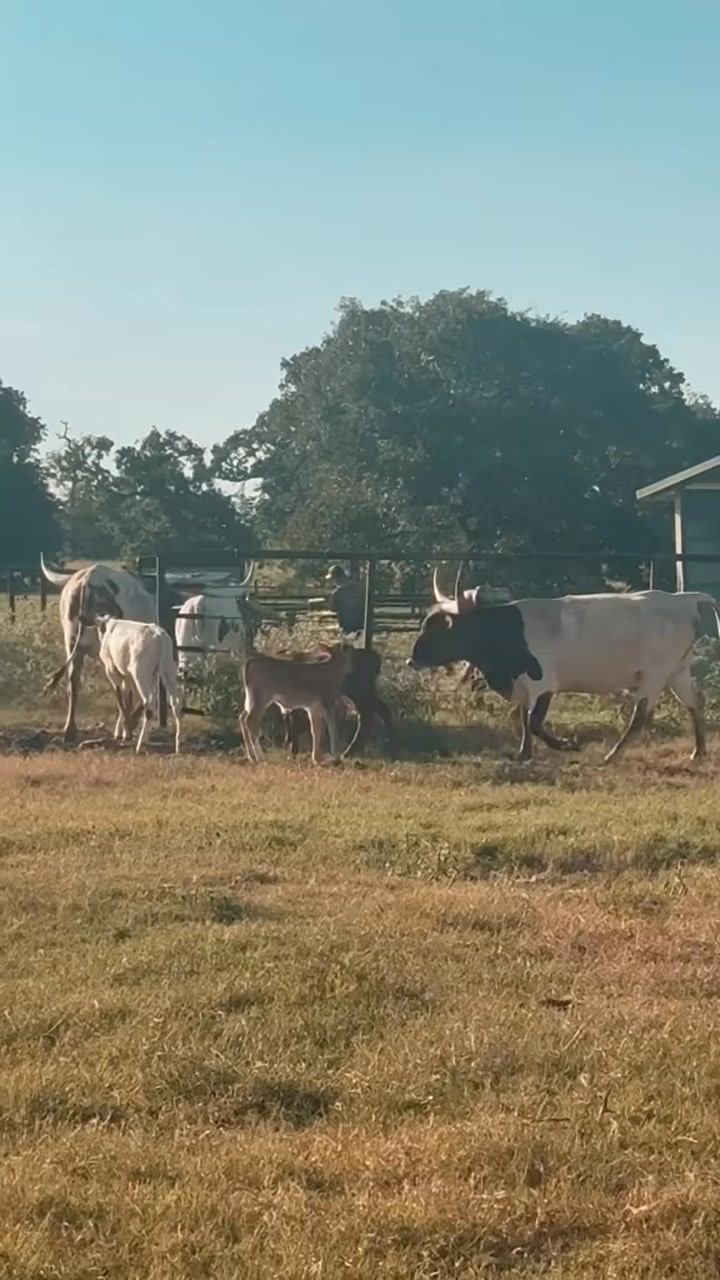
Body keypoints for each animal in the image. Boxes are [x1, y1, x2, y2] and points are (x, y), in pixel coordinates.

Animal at [96, 617, 183, 754]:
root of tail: (159, 636)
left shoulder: (112, 671)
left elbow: (119, 698)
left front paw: (124, 733)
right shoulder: (128, 676)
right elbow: (127, 699)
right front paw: (124, 732)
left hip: (140, 674)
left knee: (150, 703)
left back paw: (140, 744)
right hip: (167, 670)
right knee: (176, 702)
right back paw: (177, 744)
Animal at [408, 572, 720, 763]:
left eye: (441, 628)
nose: (412, 659)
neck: (508, 630)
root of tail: (683, 599)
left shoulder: (544, 685)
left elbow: (534, 722)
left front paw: (568, 744)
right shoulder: (524, 686)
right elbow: (524, 719)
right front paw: (523, 754)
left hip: (653, 677)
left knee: (639, 717)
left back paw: (613, 755)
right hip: (677, 673)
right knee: (695, 702)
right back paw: (698, 751)